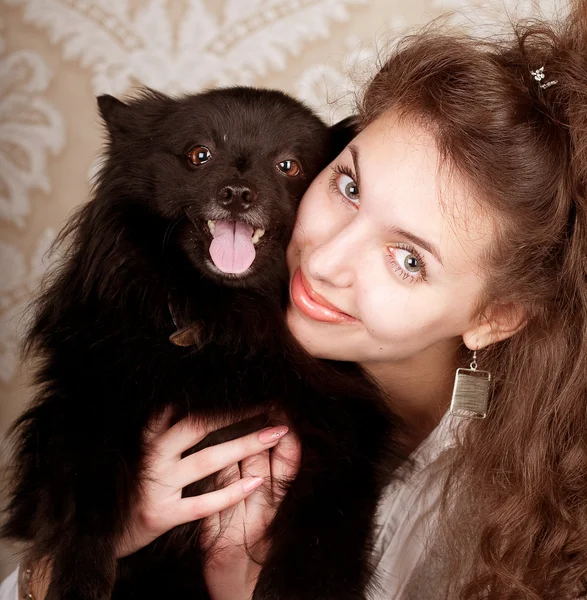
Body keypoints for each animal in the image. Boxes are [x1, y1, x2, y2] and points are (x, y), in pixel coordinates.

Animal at [1, 86, 400, 596]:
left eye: (288, 165)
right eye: (199, 155)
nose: (237, 193)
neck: (223, 318)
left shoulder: (341, 448)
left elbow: (312, 545)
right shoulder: (87, 410)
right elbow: (88, 508)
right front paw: (79, 581)